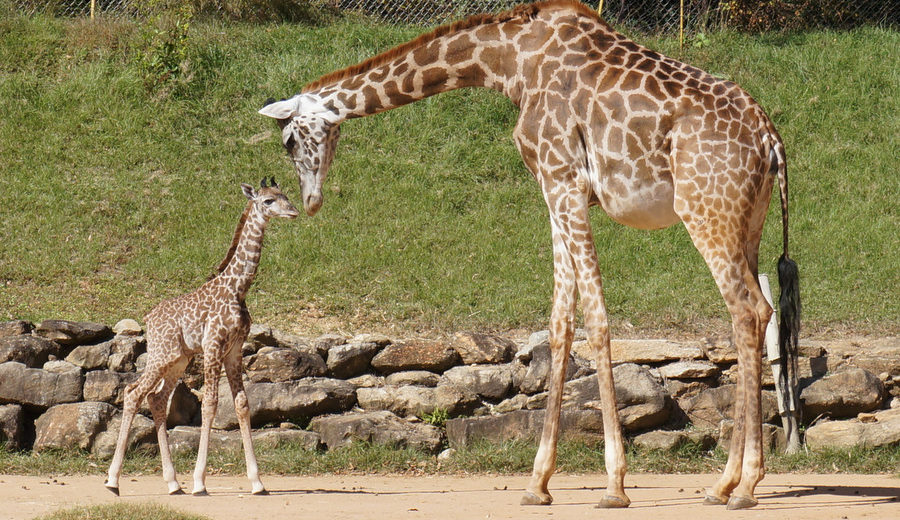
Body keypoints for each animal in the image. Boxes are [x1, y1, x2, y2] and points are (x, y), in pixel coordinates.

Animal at [104, 178, 299, 496]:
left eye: (285, 195)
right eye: (268, 201)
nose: (293, 211)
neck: (237, 288)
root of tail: (149, 318)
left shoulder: (234, 349)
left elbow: (242, 404)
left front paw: (258, 482)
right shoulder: (213, 345)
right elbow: (209, 404)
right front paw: (199, 481)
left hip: (179, 360)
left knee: (157, 399)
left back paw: (173, 484)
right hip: (162, 355)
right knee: (133, 393)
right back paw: (112, 481)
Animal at [259, 0, 800, 509]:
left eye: (288, 140)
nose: (311, 201)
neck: (510, 61)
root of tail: (771, 139)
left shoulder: (563, 180)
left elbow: (597, 320)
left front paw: (614, 484)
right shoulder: (556, 190)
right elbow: (561, 324)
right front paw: (538, 483)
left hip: (705, 212)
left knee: (746, 310)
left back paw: (743, 484)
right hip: (747, 223)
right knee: (757, 314)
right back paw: (725, 485)